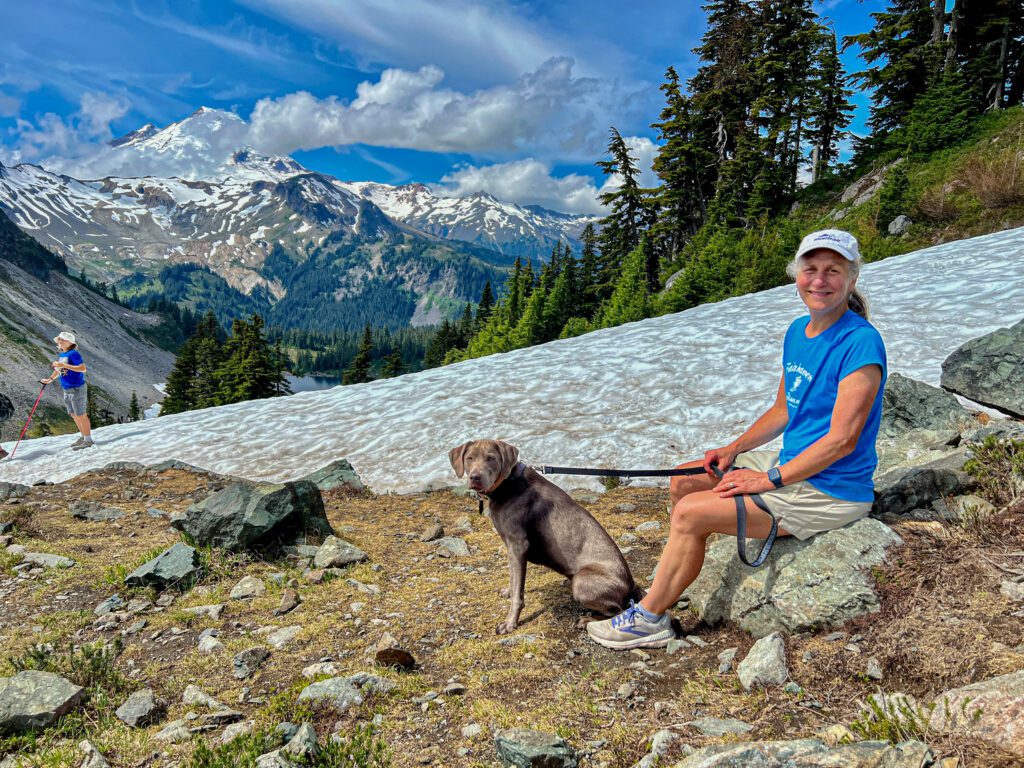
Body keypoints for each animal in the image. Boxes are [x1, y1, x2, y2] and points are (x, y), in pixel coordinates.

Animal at [448, 442, 638, 634]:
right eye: (469, 458)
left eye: (491, 458)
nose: (475, 478)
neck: (506, 484)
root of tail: (631, 586)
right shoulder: (511, 550)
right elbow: (513, 580)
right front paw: (508, 592)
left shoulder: (518, 546)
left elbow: (517, 595)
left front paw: (510, 623)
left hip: (581, 582)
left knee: (621, 610)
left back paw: (587, 620)